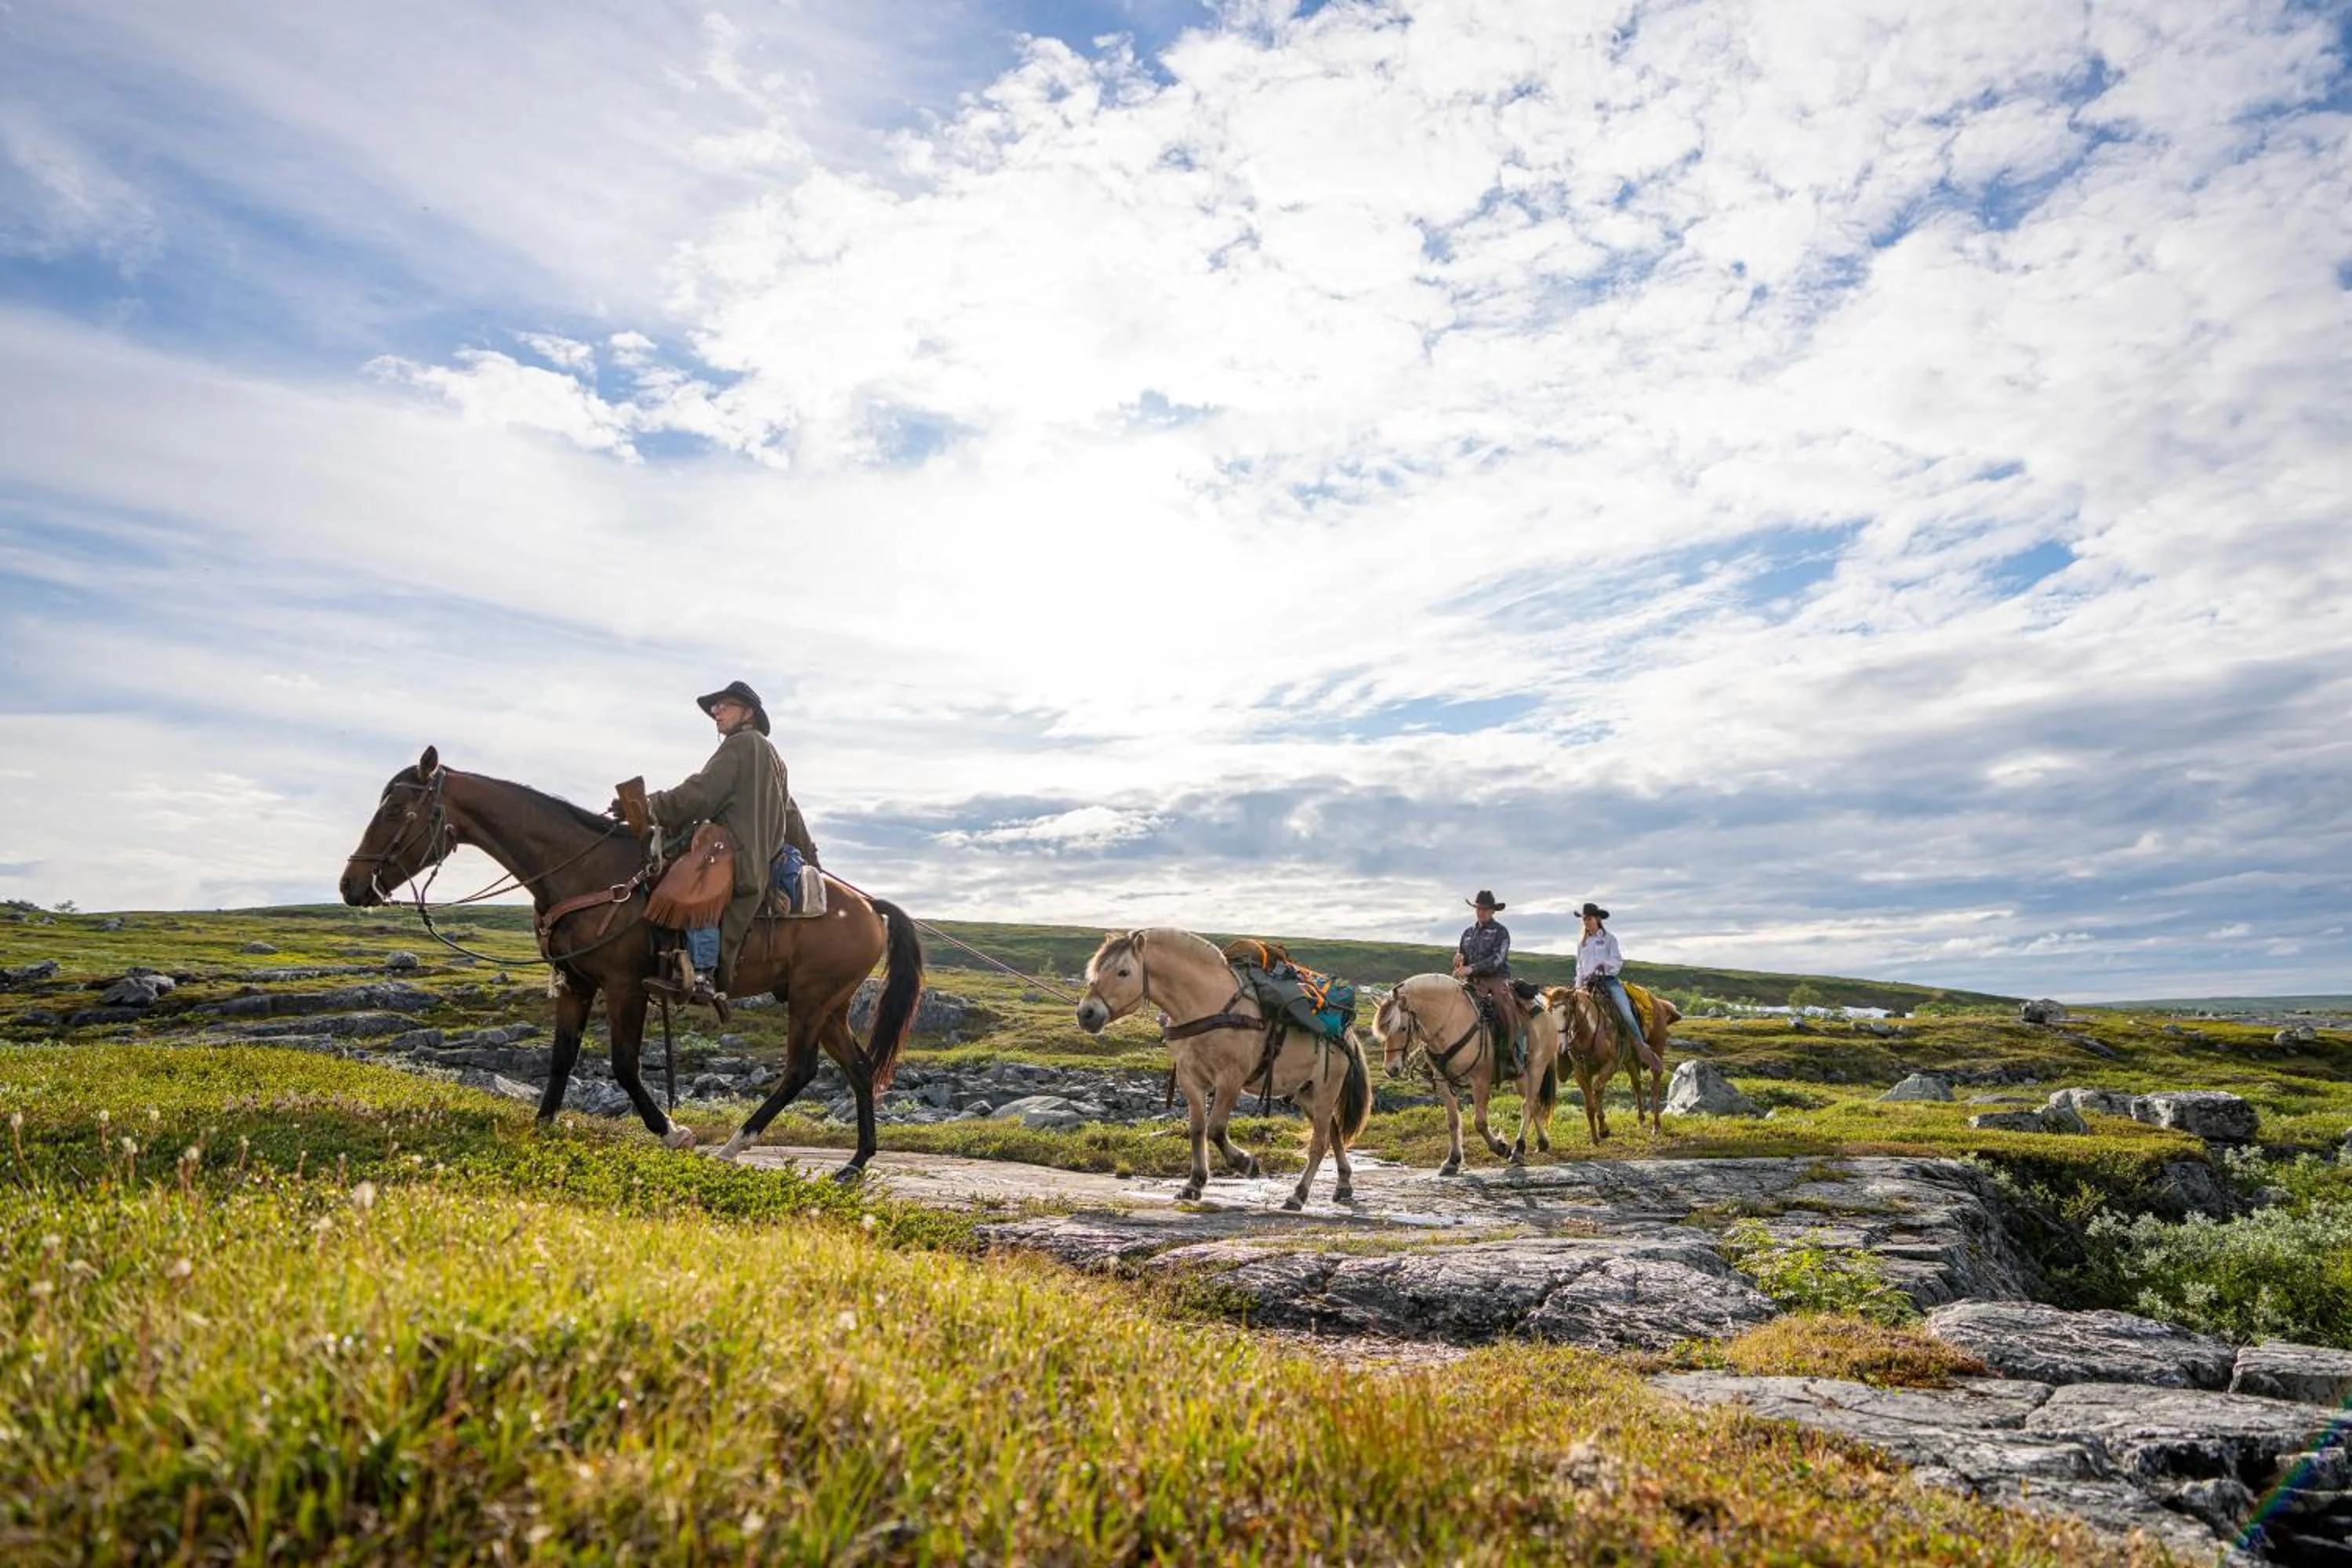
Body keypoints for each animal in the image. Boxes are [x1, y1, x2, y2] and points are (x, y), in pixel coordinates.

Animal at [337, 747, 923, 1178]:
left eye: (395, 811)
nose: (349, 885)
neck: (586, 872)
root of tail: (870, 906)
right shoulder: (575, 983)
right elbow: (562, 1059)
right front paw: (543, 1126)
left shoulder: (625, 987)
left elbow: (623, 1065)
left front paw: (672, 1131)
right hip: (830, 1006)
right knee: (859, 1067)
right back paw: (855, 1163)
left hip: (810, 999)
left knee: (801, 1070)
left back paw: (734, 1145)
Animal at [1075, 929, 1372, 1210]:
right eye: (1096, 970)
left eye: (1123, 972)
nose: (1086, 1013)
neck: (1207, 1004)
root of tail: (1347, 1035)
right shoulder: (1190, 1078)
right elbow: (1197, 1129)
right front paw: (1194, 1183)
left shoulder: (1230, 1079)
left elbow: (1215, 1128)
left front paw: (1246, 1163)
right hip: (1305, 1093)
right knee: (1333, 1131)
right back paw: (1343, 1184)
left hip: (1325, 1090)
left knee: (1319, 1144)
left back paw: (1298, 1196)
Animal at [1369, 974, 1561, 1175]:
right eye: (1383, 1031)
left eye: (1403, 1028)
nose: (1391, 1069)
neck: (1451, 1022)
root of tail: (1544, 1011)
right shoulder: (1443, 1081)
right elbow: (1453, 1121)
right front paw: (1452, 1160)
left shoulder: (1480, 1081)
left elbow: (1480, 1122)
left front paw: (1500, 1148)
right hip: (1521, 1077)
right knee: (1534, 1104)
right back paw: (1542, 1142)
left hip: (1537, 1068)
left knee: (1527, 1105)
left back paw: (1519, 1150)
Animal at [1542, 981, 1676, 1141]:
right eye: (1548, 1012)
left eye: (1566, 1013)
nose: (1558, 1046)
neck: (1590, 1032)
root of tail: (1659, 1002)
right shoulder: (1580, 1073)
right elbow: (1590, 1104)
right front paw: (1595, 1136)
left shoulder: (1611, 1066)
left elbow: (1598, 1088)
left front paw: (1603, 1129)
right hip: (1630, 1060)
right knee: (1637, 1084)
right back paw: (1641, 1119)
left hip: (1657, 1049)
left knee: (1655, 1084)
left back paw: (1656, 1125)